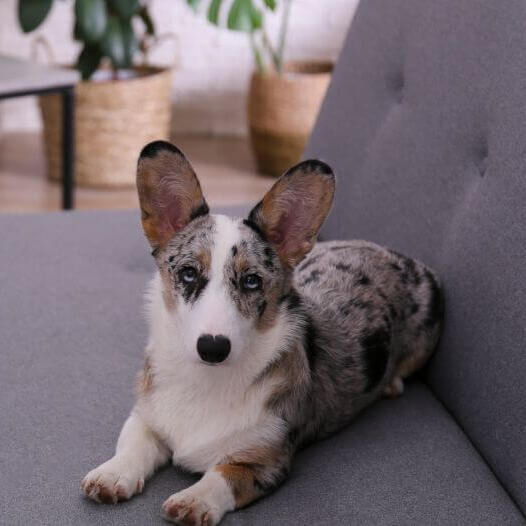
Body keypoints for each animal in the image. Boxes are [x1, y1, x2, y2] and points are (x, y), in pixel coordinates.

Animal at [82, 141, 446, 526]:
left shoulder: (265, 459)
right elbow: (134, 443)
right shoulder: (147, 416)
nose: (213, 348)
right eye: (188, 273)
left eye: (251, 281)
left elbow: (222, 475)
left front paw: (193, 500)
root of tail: (396, 255)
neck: (206, 380)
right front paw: (112, 474)